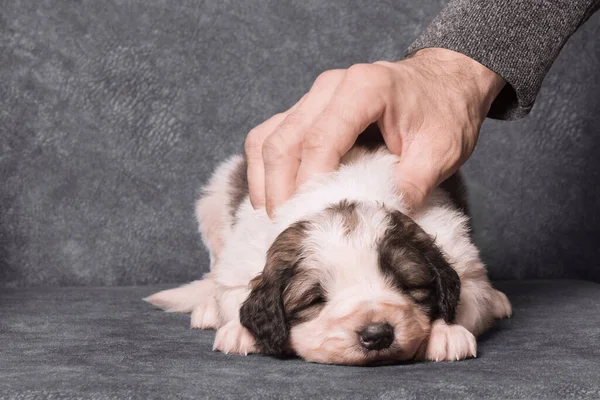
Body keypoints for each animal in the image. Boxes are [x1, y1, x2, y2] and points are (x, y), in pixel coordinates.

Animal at [145, 126, 510, 364]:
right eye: (315, 300)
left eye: (410, 286)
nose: (377, 335)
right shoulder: (244, 253)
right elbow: (234, 292)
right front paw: (240, 330)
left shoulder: (455, 246)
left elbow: (468, 292)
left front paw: (446, 333)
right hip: (215, 199)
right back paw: (207, 307)